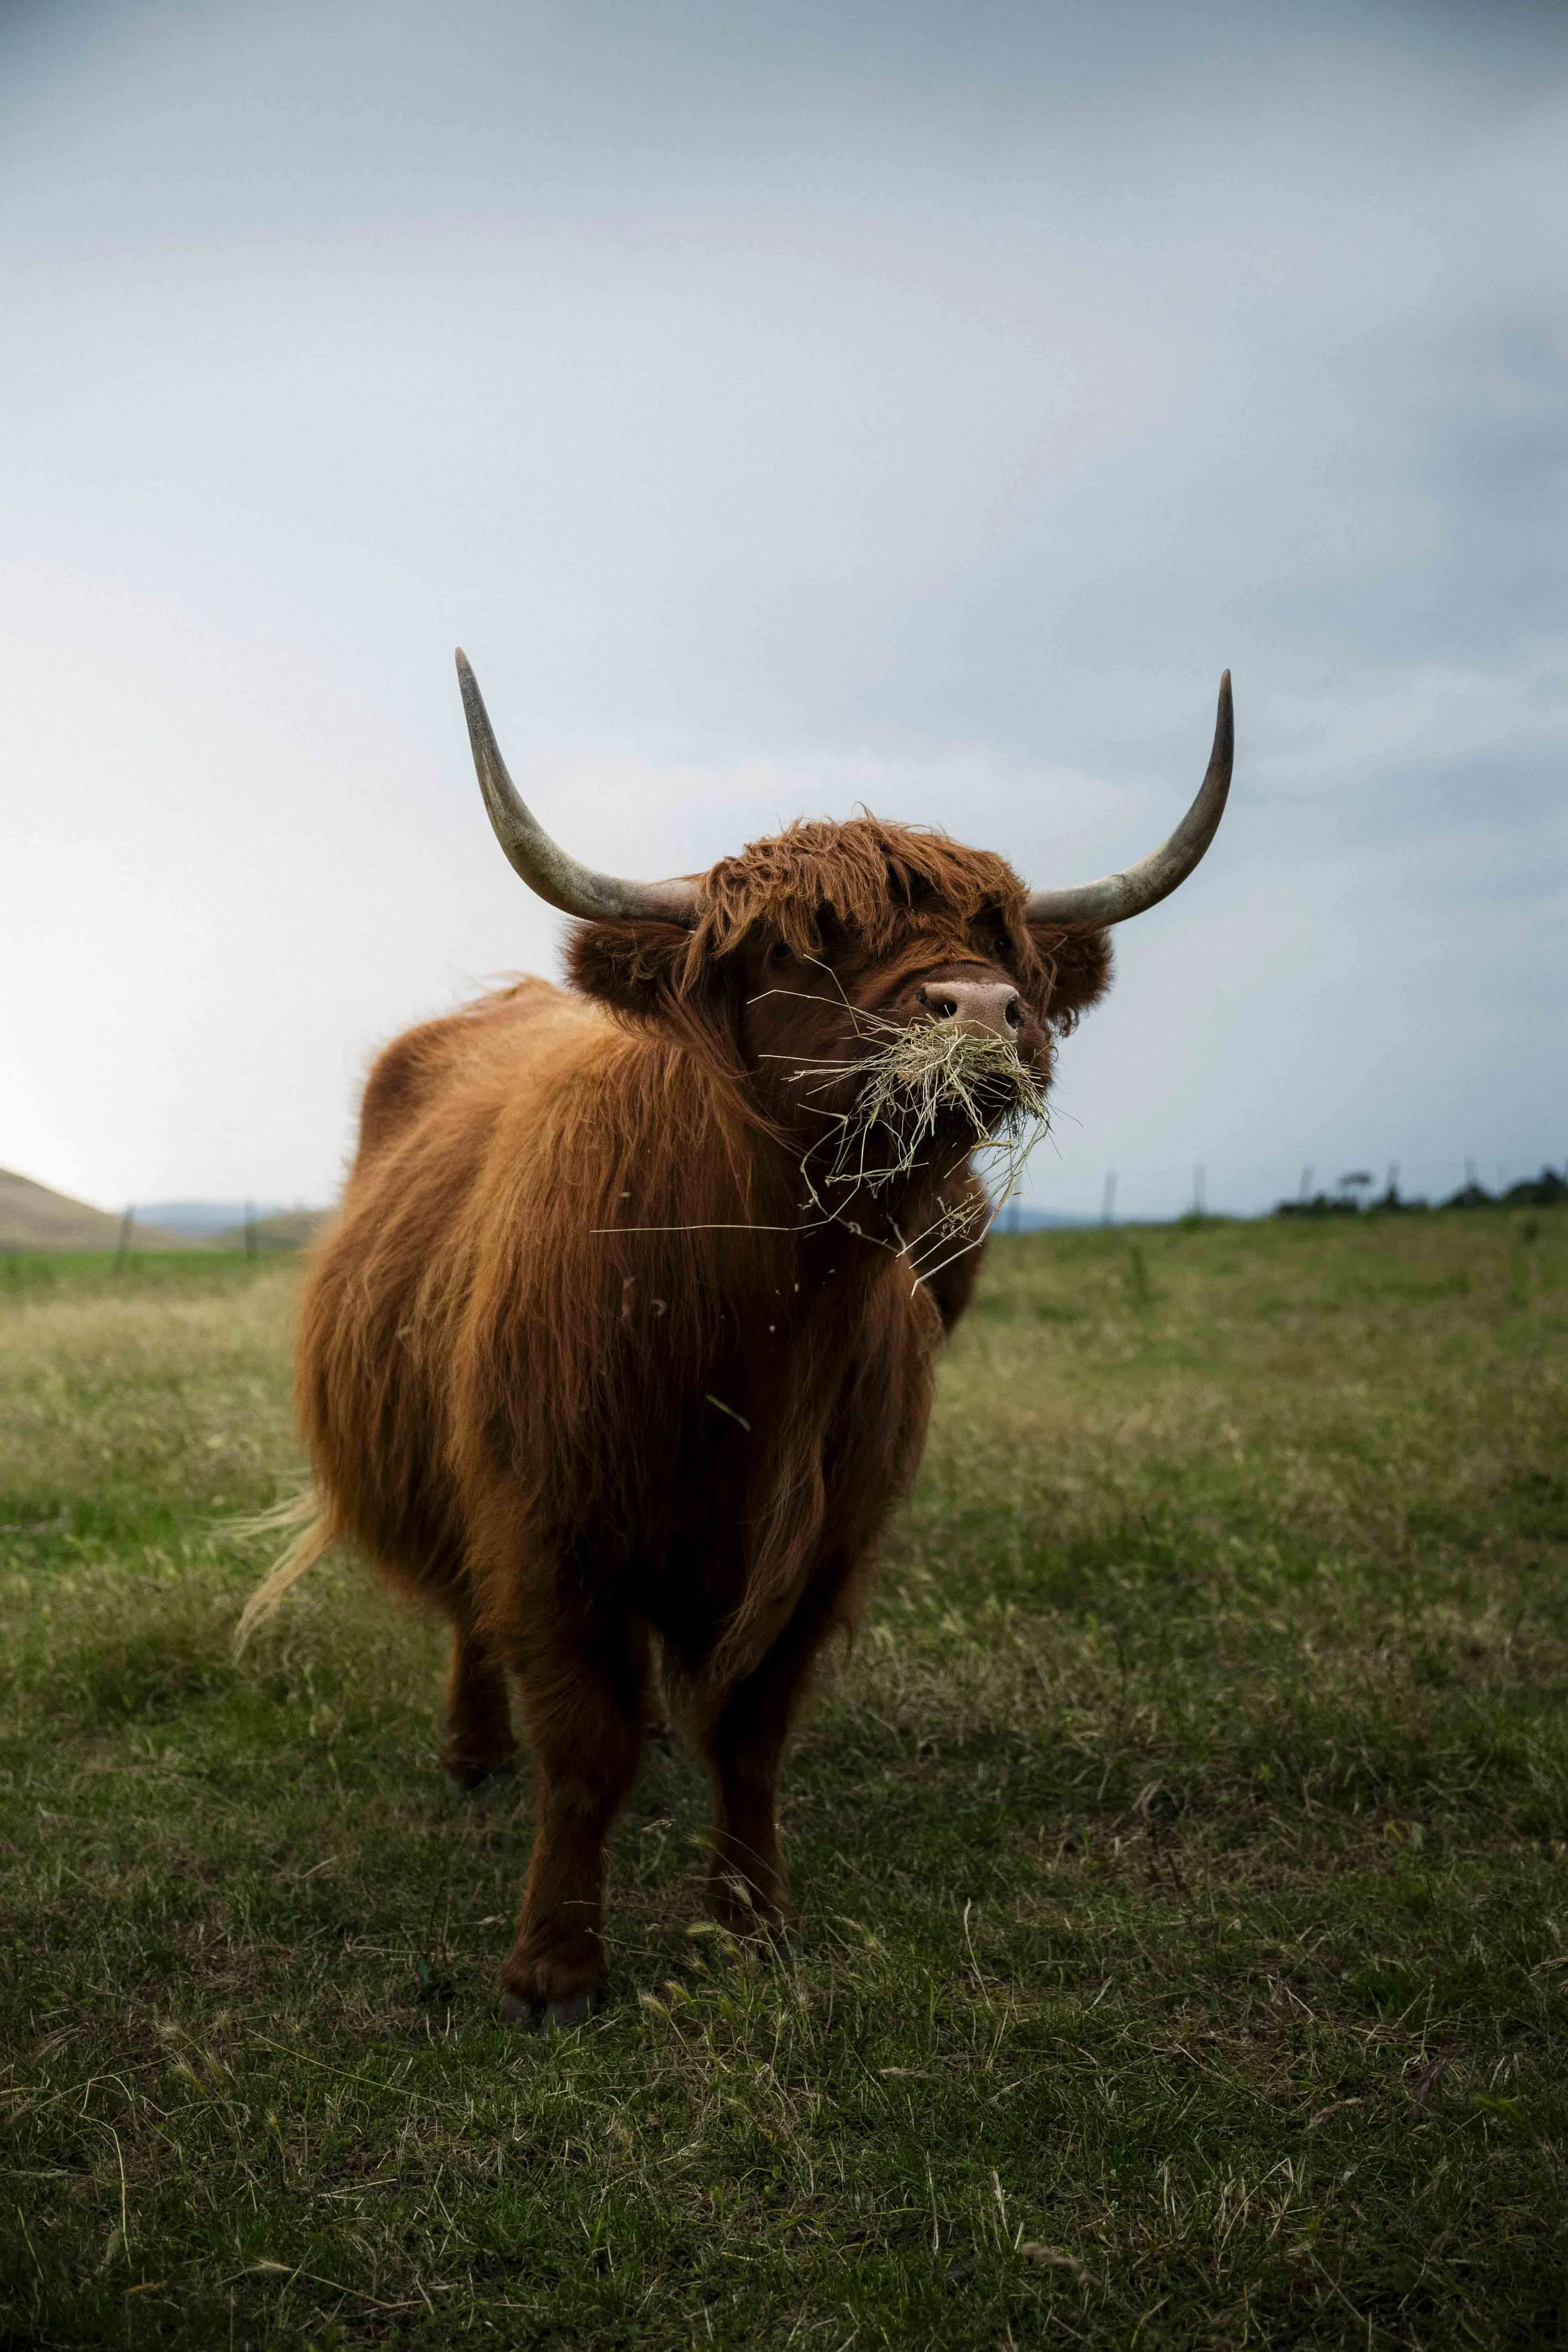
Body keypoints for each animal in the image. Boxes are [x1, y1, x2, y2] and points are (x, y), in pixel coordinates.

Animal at [239, 653, 1233, 2027]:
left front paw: (754, 1919)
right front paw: (554, 1970)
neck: (760, 1325)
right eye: (799, 949)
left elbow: (752, 1727)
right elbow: (582, 1745)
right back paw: (473, 1754)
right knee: (473, 1623)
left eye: (1004, 946)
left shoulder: (829, 1539)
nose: (981, 1009)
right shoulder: (548, 1522)